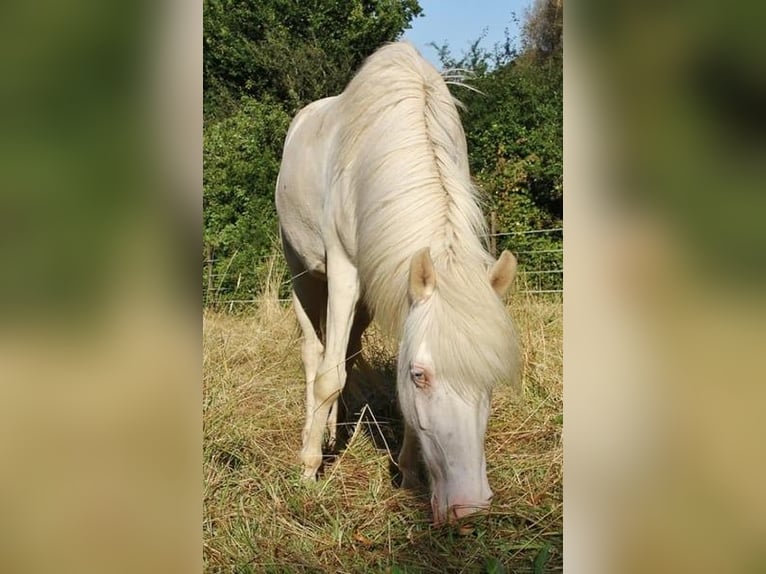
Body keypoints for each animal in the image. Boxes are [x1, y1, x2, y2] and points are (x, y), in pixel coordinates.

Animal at [275, 42, 520, 525]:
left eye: (491, 379)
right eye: (419, 376)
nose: (468, 507)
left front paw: (406, 473)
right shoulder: (344, 269)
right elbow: (328, 375)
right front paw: (310, 468)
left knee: (347, 352)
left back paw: (334, 429)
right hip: (303, 273)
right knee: (316, 354)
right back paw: (314, 441)